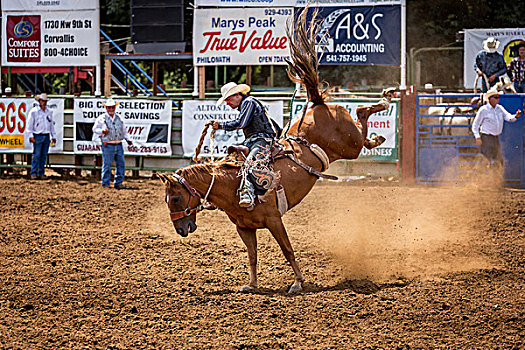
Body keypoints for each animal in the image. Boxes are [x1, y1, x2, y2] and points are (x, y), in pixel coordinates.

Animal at [157, 8, 392, 292]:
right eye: (168, 200)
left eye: (176, 198)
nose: (180, 230)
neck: (230, 185)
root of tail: (315, 102)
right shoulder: (245, 228)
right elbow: (252, 255)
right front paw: (251, 284)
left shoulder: (274, 220)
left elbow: (287, 250)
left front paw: (298, 283)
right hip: (347, 145)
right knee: (362, 120)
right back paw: (379, 129)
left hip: (349, 143)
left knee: (361, 112)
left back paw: (386, 101)